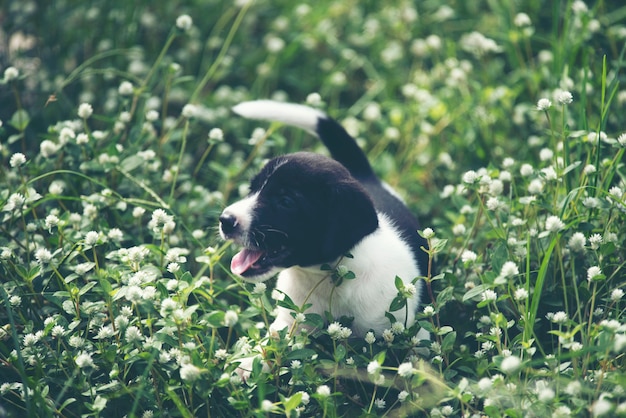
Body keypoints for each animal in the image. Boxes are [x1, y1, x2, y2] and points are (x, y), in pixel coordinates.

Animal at [219, 101, 428, 340]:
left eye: (286, 201)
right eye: (251, 189)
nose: (225, 220)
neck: (326, 280)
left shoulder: (406, 330)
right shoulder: (289, 323)